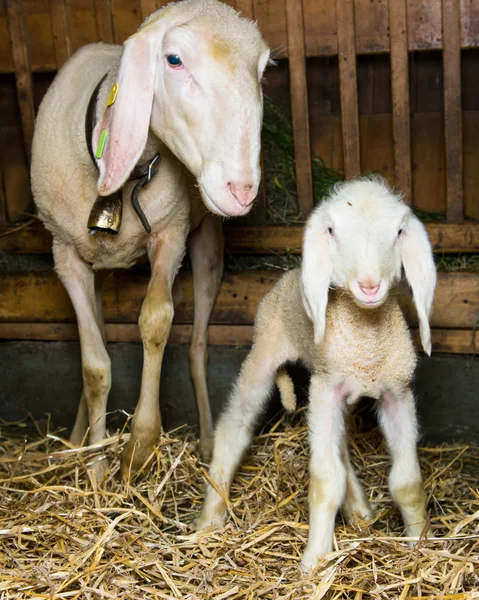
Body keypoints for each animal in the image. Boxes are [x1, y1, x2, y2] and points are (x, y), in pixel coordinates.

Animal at [31, 0, 270, 478]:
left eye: (263, 70)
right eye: (174, 60)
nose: (242, 191)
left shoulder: (170, 237)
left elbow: (156, 321)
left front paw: (138, 446)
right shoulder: (65, 256)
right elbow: (94, 366)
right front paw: (94, 465)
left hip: (207, 243)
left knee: (197, 347)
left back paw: (209, 441)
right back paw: (75, 439)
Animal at [196, 177, 438, 572]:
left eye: (399, 231)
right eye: (332, 231)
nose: (369, 286)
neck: (365, 344)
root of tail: (292, 275)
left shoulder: (396, 393)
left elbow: (407, 482)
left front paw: (420, 543)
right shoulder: (324, 391)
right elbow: (325, 480)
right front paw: (315, 560)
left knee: (339, 447)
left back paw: (360, 510)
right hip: (266, 351)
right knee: (235, 424)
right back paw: (210, 517)